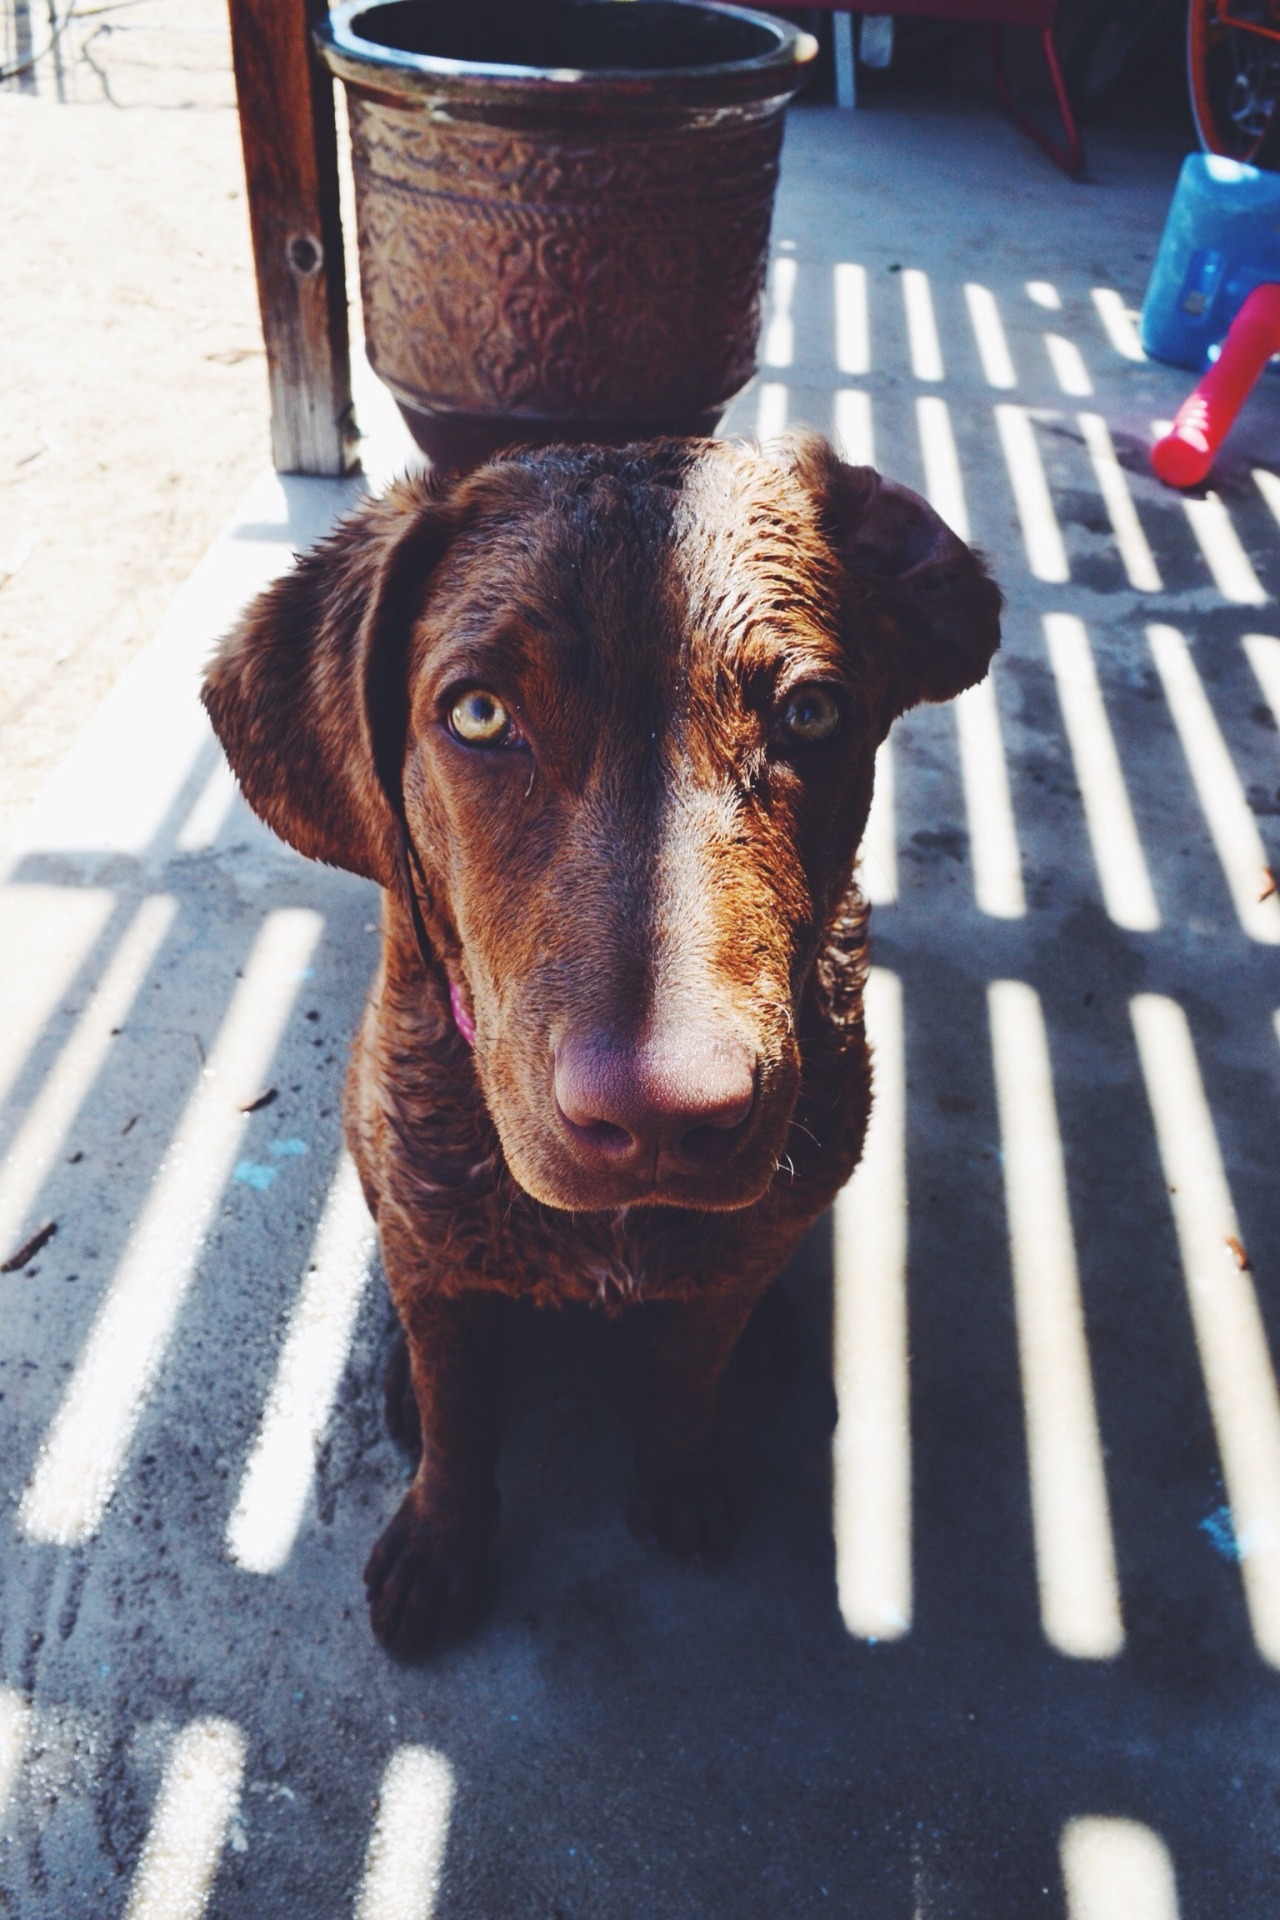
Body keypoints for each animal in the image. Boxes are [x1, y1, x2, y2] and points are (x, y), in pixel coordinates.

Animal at [202, 432, 997, 1651]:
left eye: (812, 716)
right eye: (479, 717)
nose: (664, 1117)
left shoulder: (735, 1250)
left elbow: (686, 1372)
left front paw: (678, 1473)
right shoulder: (428, 1222)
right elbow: (459, 1412)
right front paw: (439, 1540)